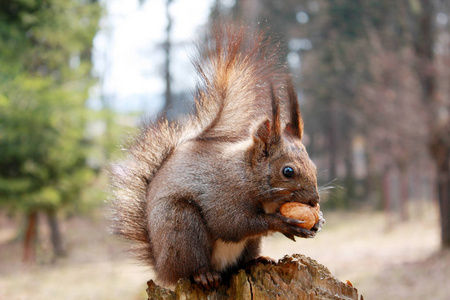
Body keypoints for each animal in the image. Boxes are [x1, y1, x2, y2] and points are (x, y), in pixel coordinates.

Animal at [110, 22, 326, 290]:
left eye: (314, 167)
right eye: (288, 171)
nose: (315, 201)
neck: (246, 173)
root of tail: (161, 267)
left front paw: (317, 222)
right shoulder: (223, 195)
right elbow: (232, 224)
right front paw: (282, 223)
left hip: (247, 245)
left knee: (240, 262)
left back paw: (258, 260)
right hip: (181, 225)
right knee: (191, 265)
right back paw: (203, 274)